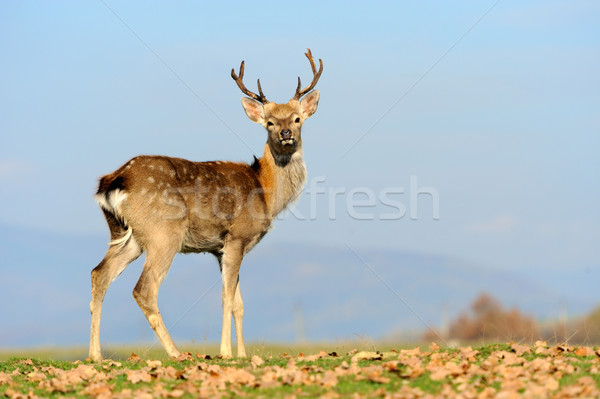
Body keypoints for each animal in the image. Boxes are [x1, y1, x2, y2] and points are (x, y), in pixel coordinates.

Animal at [88, 48, 324, 360]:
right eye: (270, 122)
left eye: (297, 119)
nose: (286, 134)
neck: (265, 191)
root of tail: (112, 181)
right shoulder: (237, 236)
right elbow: (226, 297)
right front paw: (225, 351)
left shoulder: (219, 249)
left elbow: (239, 304)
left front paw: (242, 354)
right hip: (163, 233)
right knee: (144, 289)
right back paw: (176, 353)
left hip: (126, 234)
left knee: (99, 274)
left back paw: (95, 355)